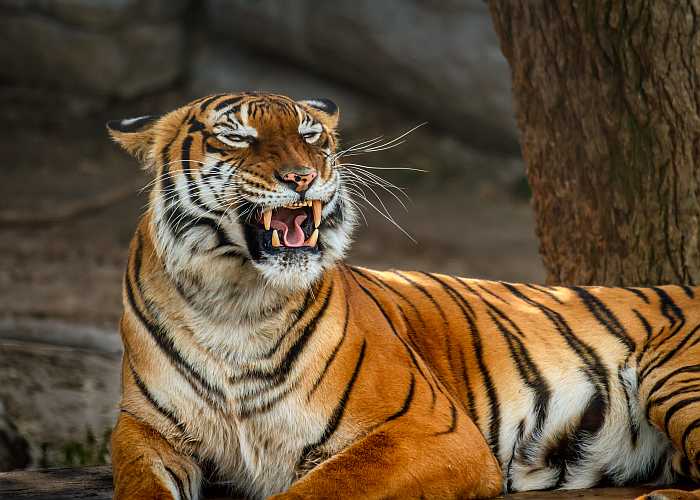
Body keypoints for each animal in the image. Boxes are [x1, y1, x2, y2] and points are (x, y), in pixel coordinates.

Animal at [108, 93, 700, 500]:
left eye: (311, 135)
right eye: (237, 137)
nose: (303, 176)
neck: (234, 303)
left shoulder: (430, 429)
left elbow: (322, 488)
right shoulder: (145, 427)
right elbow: (139, 482)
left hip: (674, 377)